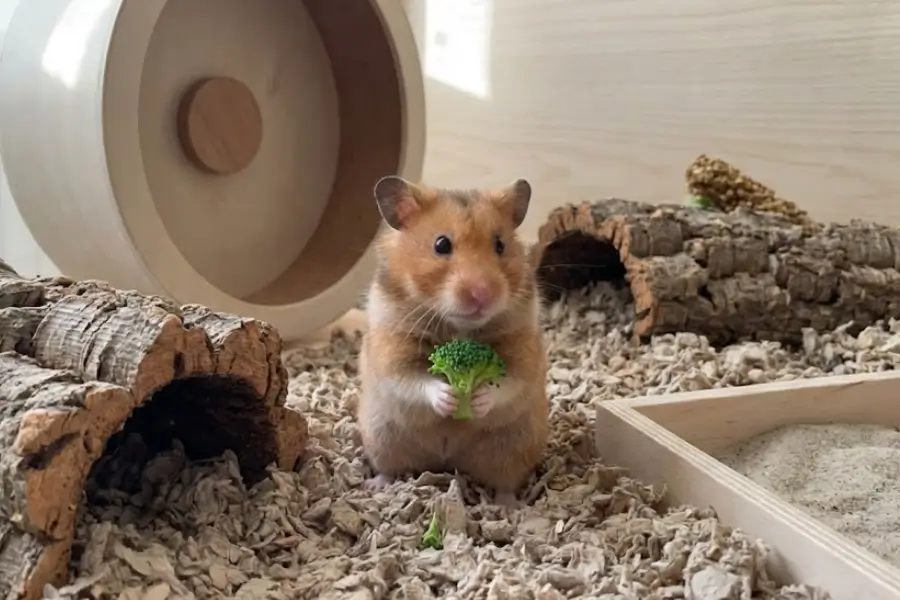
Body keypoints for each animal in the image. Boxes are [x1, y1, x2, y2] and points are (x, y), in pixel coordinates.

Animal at [356, 176, 549, 507]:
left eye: (500, 244)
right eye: (441, 244)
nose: (483, 294)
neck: (461, 331)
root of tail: (446, 460)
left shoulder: (524, 350)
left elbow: (509, 381)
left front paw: (479, 398)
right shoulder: (391, 347)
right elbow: (412, 379)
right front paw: (448, 397)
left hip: (515, 445)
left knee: (505, 481)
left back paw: (509, 505)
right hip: (381, 435)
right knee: (389, 467)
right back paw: (378, 486)